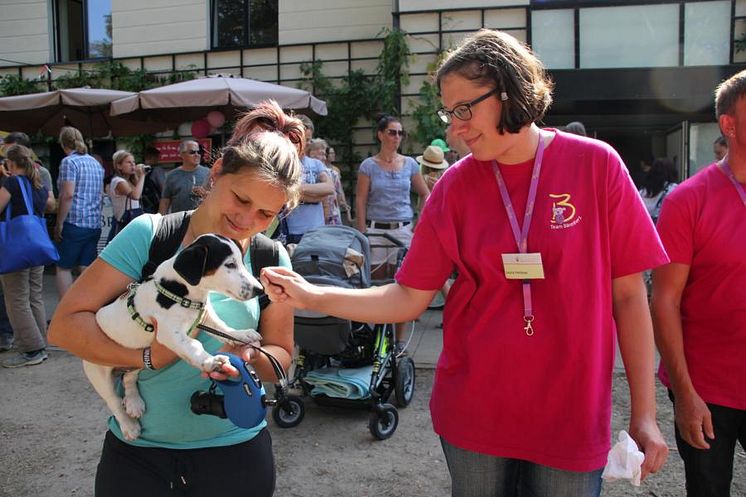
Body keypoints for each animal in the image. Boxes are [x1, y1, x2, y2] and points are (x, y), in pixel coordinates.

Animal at [84, 232, 264, 438]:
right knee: (112, 399)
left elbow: (223, 328)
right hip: (97, 371)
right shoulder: (170, 333)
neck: (180, 292)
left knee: (128, 377)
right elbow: (193, 345)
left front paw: (241, 335)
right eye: (230, 264)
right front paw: (210, 361)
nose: (260, 289)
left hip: (136, 359)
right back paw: (128, 425)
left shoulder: (206, 316)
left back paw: (134, 402)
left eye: (241, 262)